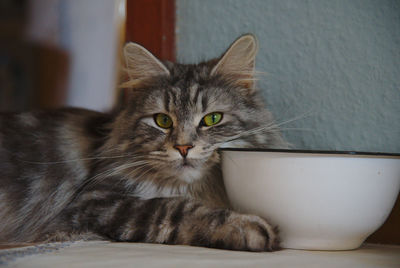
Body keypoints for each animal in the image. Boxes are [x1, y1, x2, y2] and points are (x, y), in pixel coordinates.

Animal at [0, 34, 288, 251]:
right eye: (163, 121)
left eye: (212, 119)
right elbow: (170, 208)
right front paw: (246, 226)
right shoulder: (94, 202)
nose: (183, 147)